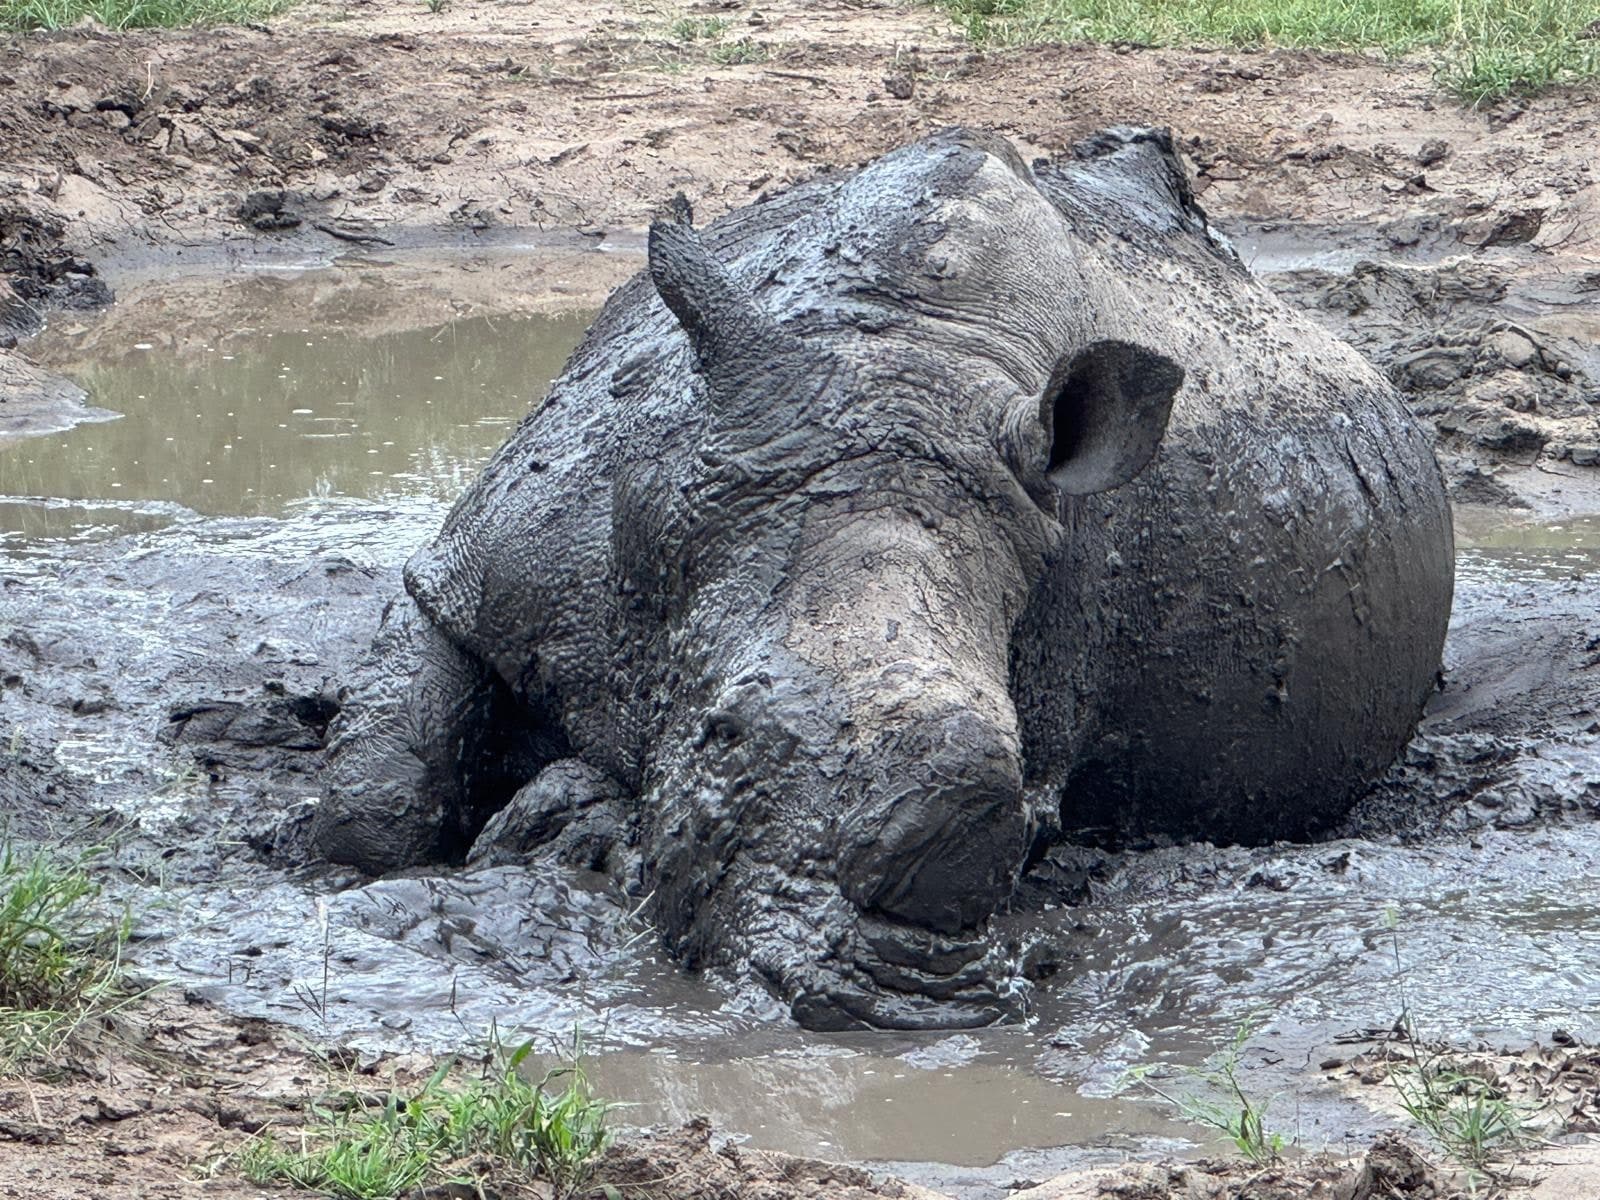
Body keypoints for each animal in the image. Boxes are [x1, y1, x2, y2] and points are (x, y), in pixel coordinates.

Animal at [314, 127, 1454, 1030]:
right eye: (723, 739)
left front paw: (559, 820)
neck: (898, 357)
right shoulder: (489, 563)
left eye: (1029, 818)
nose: (897, 1001)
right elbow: (377, 799)